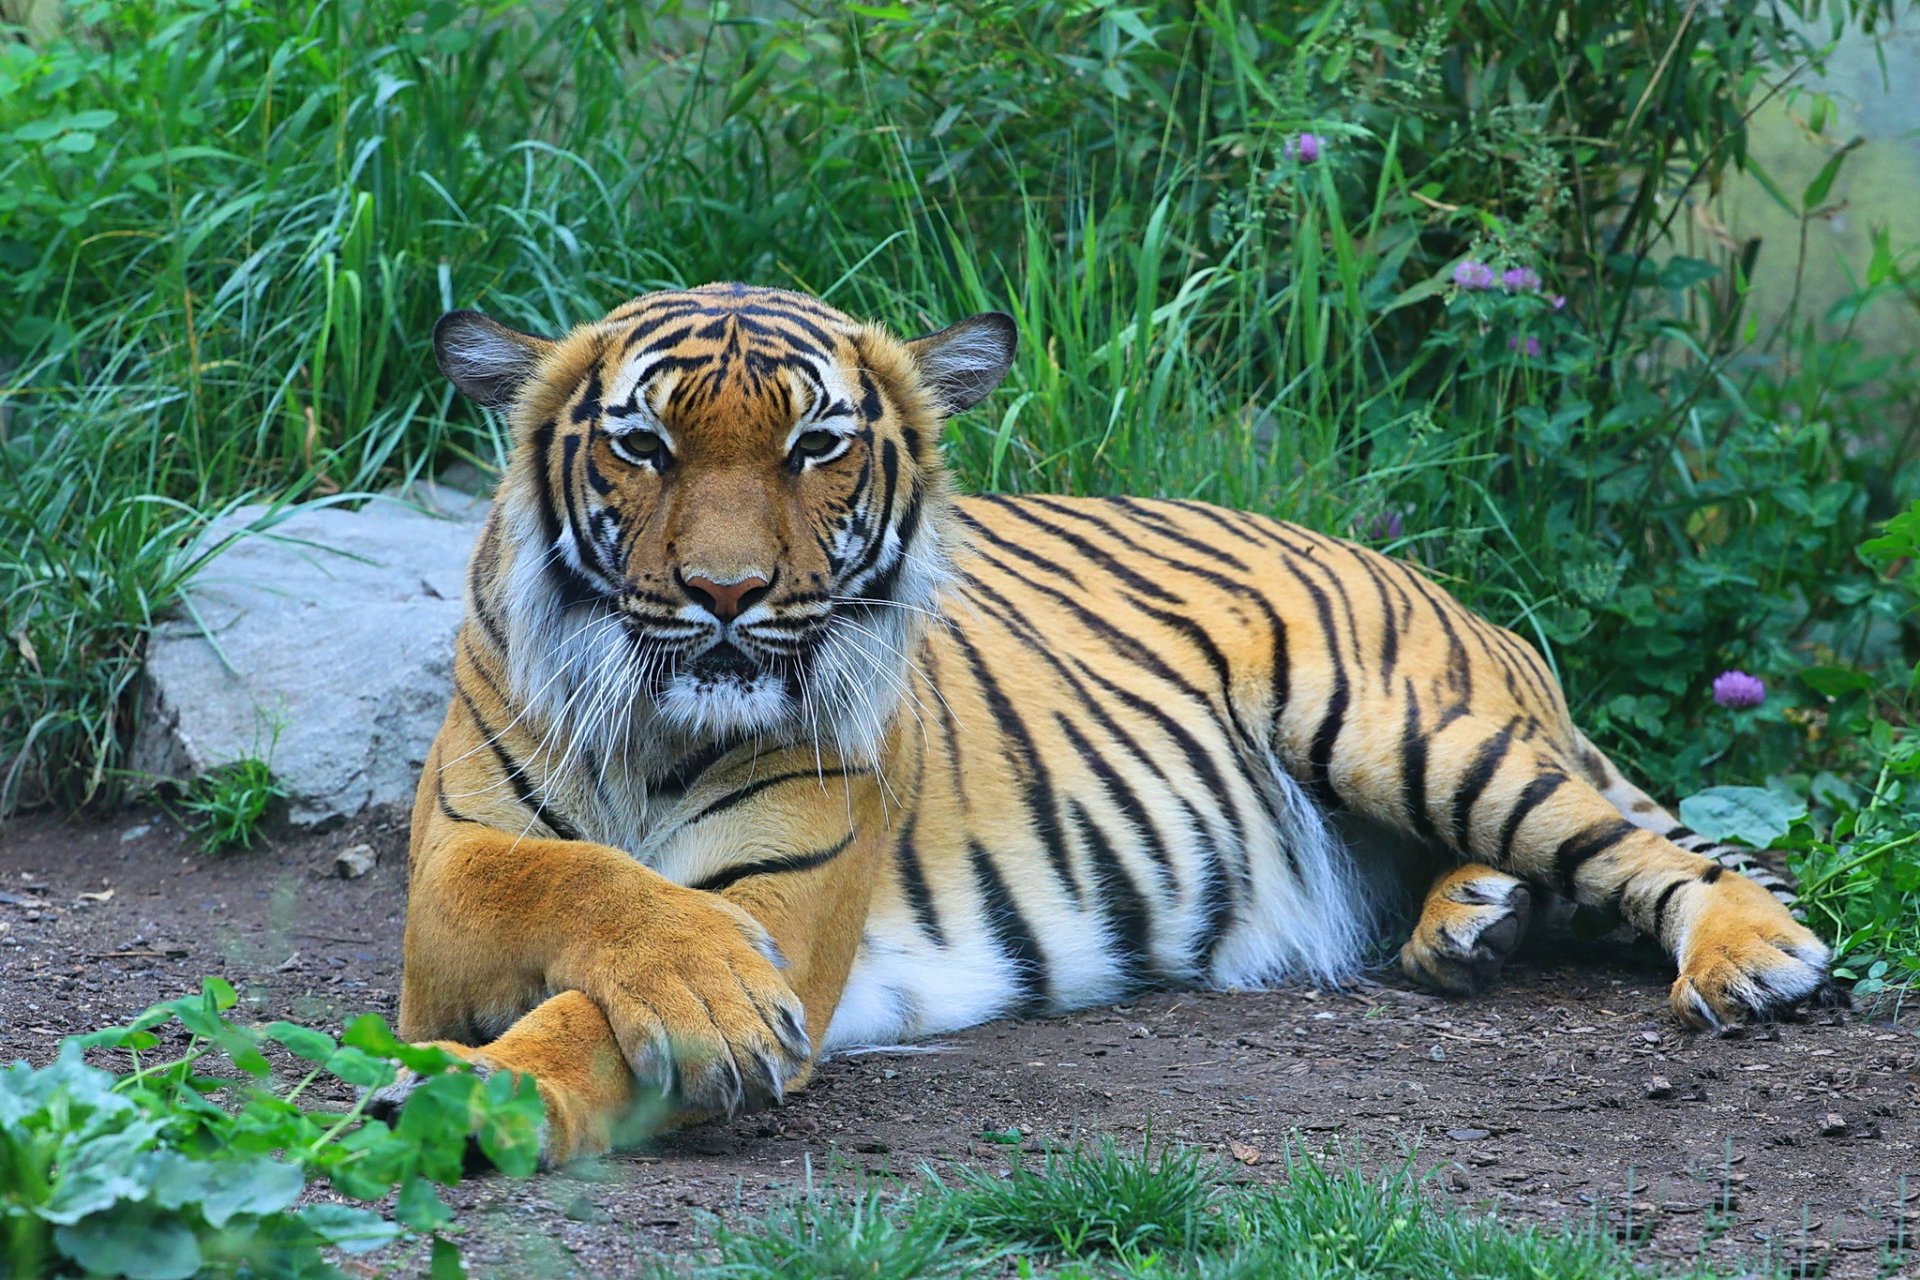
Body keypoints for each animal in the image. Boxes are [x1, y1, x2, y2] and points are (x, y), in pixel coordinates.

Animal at [389, 282, 1845, 1163]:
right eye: (642, 446)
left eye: (817, 447)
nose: (729, 593)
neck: (654, 723)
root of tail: (1433, 582)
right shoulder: (448, 878)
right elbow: (576, 876)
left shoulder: (784, 902)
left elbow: (603, 996)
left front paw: (494, 1089)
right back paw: (1468, 926)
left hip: (1405, 727)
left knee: (1661, 852)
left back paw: (1749, 956)